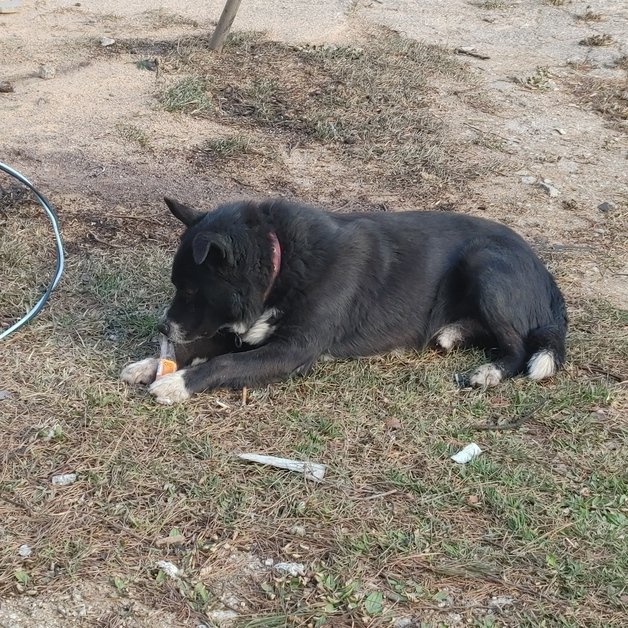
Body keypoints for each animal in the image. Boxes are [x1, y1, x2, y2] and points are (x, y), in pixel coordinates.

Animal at [121, 196, 568, 404]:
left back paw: (490, 372)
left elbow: (225, 363)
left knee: (517, 345)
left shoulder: (292, 350)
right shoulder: (245, 329)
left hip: (485, 263)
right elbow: (204, 345)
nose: (162, 327)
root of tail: (545, 272)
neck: (281, 260)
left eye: (190, 290)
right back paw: (454, 333)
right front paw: (151, 364)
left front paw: (176, 383)